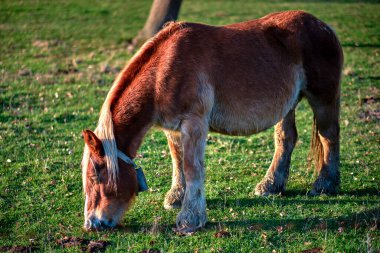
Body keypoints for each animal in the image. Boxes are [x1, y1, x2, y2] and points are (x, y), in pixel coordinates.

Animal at [81, 10, 342, 234]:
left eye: (95, 177)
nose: (92, 223)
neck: (164, 69)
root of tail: (322, 26)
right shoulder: (173, 130)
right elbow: (177, 162)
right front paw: (177, 197)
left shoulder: (194, 124)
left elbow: (191, 168)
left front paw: (190, 219)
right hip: (288, 104)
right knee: (286, 139)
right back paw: (270, 186)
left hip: (323, 98)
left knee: (329, 135)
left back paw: (324, 185)